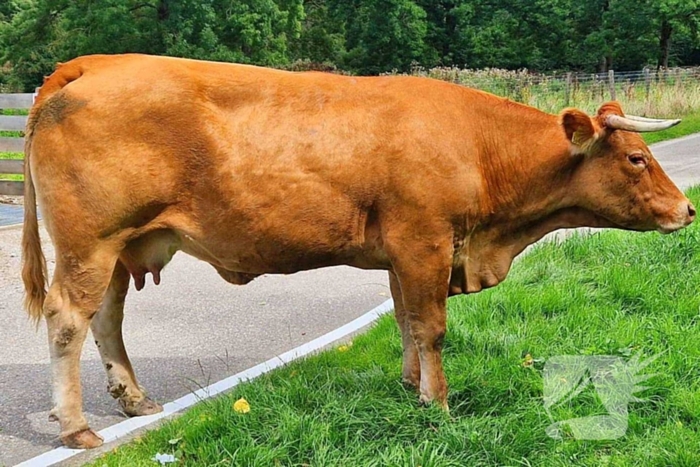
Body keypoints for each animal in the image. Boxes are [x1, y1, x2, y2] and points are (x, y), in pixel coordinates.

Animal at [21, 54, 693, 448]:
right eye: (637, 158)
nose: (687, 210)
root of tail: (94, 63)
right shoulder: (425, 242)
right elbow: (432, 326)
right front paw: (437, 404)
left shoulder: (402, 254)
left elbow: (405, 321)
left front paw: (408, 385)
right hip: (89, 241)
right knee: (67, 320)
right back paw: (77, 428)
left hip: (119, 247)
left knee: (106, 318)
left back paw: (134, 400)